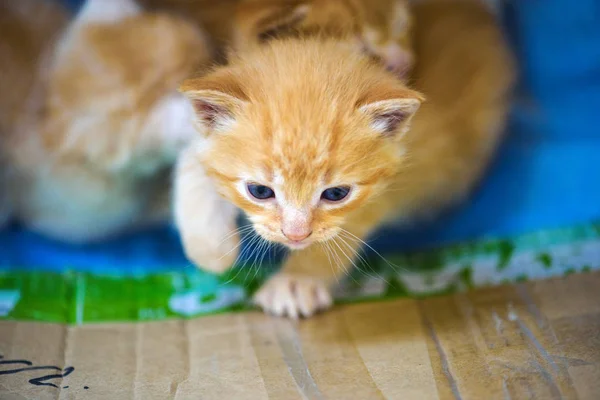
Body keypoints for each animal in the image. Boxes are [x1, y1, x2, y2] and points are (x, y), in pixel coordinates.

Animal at [175, 0, 516, 318]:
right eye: (260, 191)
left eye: (336, 194)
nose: (296, 235)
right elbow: (196, 156)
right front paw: (210, 247)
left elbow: (347, 224)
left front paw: (298, 280)